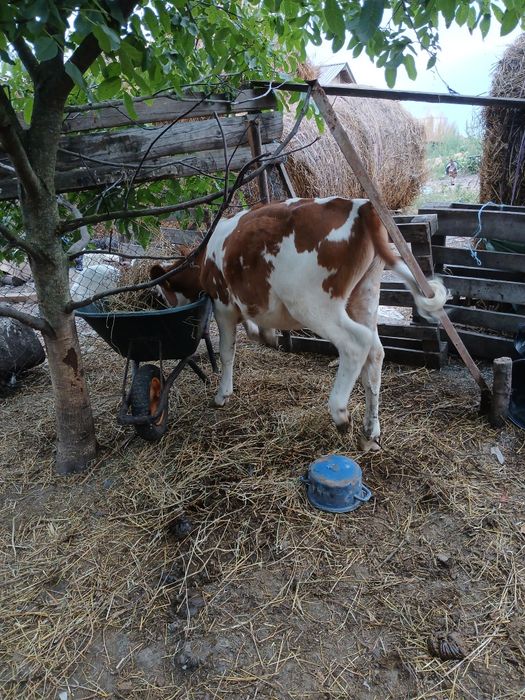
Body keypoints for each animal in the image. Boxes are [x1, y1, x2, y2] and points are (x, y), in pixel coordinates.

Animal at [150, 197, 447, 450]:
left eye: (160, 294)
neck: (205, 257)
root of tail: (362, 206)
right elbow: (253, 328)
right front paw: (267, 335)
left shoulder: (223, 305)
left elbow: (227, 352)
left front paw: (222, 394)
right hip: (365, 296)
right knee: (375, 354)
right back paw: (370, 430)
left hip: (312, 304)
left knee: (356, 344)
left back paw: (340, 413)